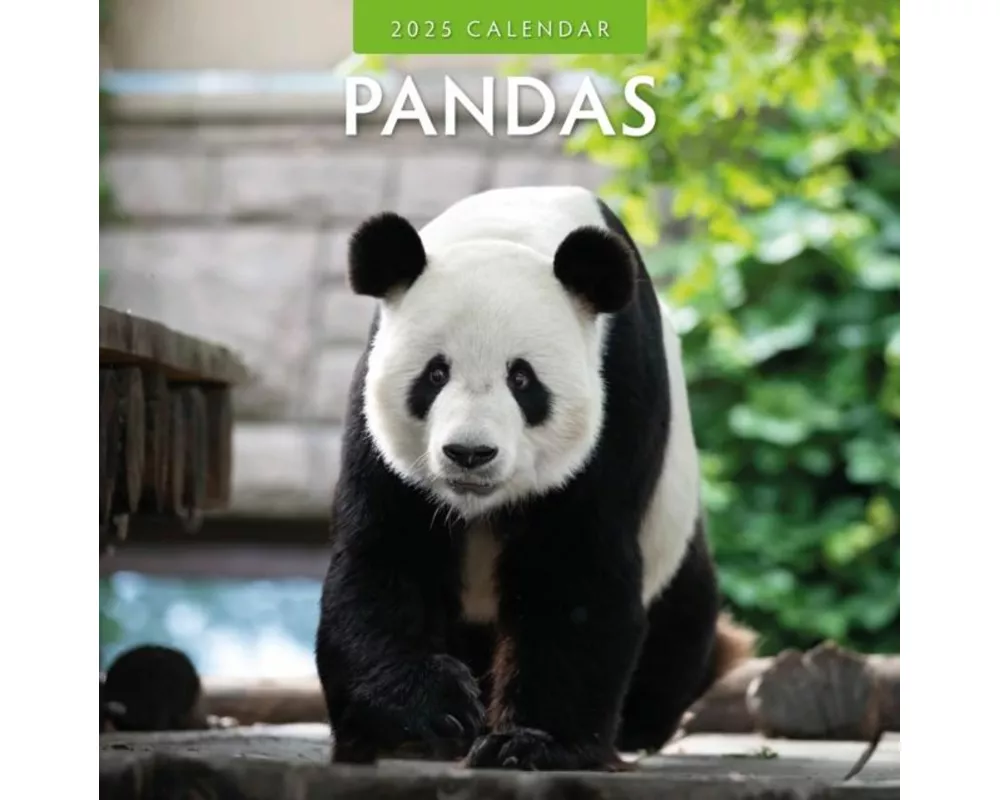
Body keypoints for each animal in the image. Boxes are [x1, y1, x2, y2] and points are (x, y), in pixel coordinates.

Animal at [315, 185, 755, 771]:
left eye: (522, 379)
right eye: (435, 373)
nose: (469, 453)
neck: (511, 226)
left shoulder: (618, 395)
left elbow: (572, 570)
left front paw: (529, 743)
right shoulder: (376, 419)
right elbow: (387, 556)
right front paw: (423, 718)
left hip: (675, 536)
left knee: (682, 622)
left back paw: (638, 722)